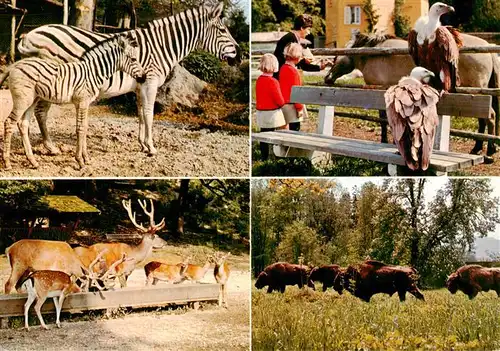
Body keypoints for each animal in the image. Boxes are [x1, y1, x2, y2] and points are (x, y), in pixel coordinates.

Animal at [1, 32, 146, 170]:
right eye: (134, 59)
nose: (144, 78)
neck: (93, 72)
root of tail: (15, 65)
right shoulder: (82, 101)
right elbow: (80, 128)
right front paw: (80, 161)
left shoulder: (85, 103)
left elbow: (85, 127)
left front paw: (86, 158)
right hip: (22, 100)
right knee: (9, 122)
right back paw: (7, 162)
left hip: (32, 100)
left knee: (23, 124)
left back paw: (33, 161)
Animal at [16, 2, 239, 157]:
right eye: (222, 30)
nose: (239, 55)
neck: (161, 47)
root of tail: (29, 36)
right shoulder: (150, 82)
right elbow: (149, 114)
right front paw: (151, 147)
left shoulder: (140, 85)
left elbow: (140, 114)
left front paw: (142, 144)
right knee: (41, 112)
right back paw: (51, 147)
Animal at [324, 32, 500, 162]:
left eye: (336, 57)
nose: (327, 77)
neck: (373, 54)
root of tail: (489, 49)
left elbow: (383, 120)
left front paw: (385, 140)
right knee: (483, 120)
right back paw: (478, 148)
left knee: (490, 117)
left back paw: (489, 151)